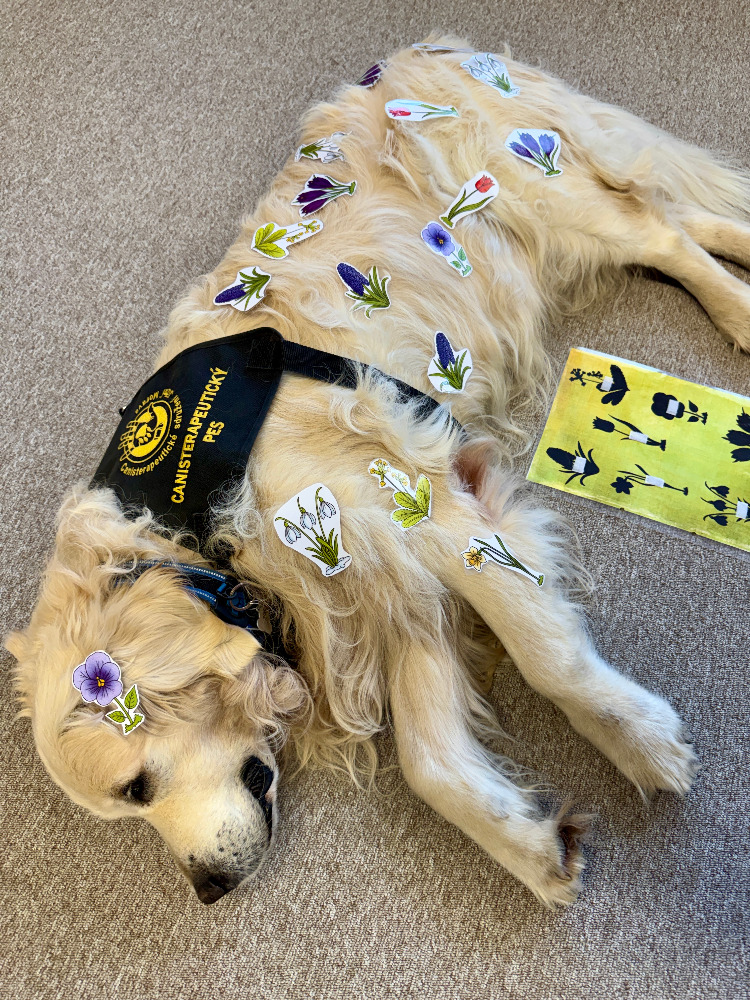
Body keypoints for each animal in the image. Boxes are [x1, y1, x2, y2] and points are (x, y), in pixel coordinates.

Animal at [9, 35, 750, 908]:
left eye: (136, 786)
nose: (209, 889)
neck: (202, 516)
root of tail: (423, 49)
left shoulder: (422, 508)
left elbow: (549, 656)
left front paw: (643, 741)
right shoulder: (378, 586)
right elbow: (431, 762)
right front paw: (533, 845)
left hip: (542, 193)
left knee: (662, 236)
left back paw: (738, 311)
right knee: (675, 213)